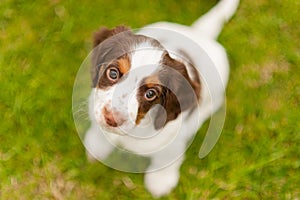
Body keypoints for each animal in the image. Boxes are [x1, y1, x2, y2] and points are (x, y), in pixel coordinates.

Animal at [84, 0, 239, 197]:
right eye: (113, 73)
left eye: (151, 94)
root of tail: (199, 33)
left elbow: (164, 161)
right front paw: (96, 147)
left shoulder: (172, 141)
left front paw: (160, 183)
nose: (111, 119)